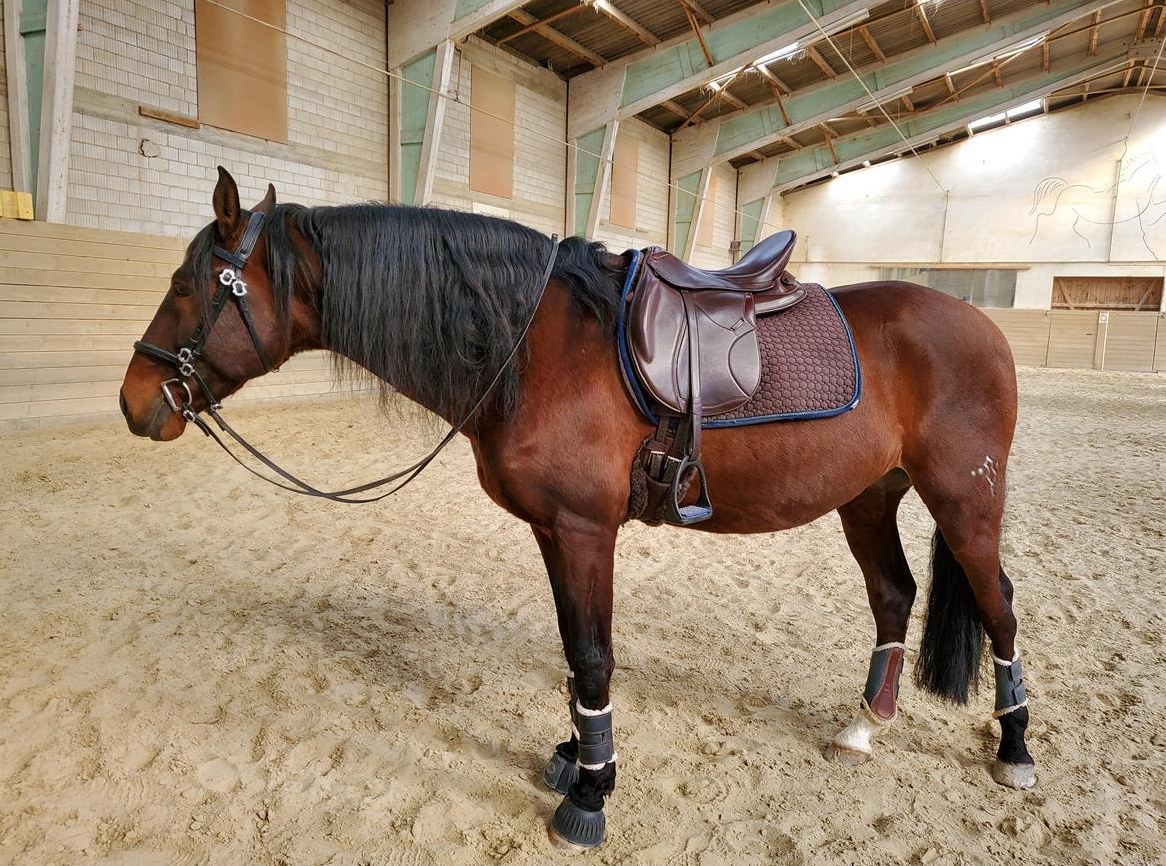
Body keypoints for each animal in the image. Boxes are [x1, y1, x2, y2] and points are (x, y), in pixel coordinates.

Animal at [120, 167, 1036, 851]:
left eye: (186, 285)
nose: (134, 402)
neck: (533, 347)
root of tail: (981, 324)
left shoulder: (586, 531)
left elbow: (594, 656)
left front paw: (592, 793)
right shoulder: (553, 533)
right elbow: (572, 649)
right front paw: (573, 752)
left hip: (965, 499)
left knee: (999, 607)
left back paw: (1016, 745)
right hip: (867, 498)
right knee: (893, 595)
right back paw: (865, 726)